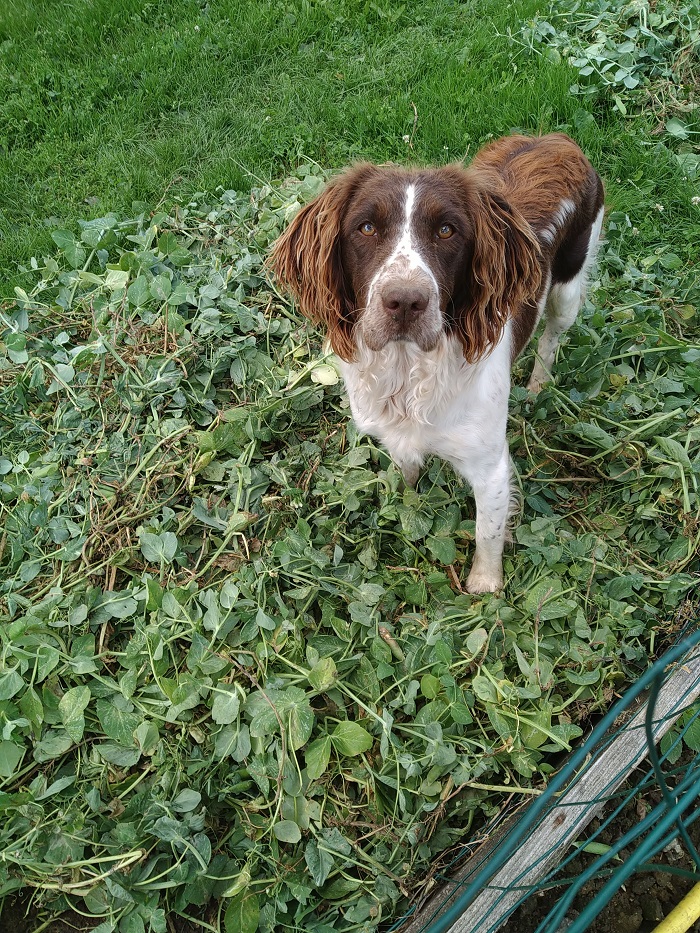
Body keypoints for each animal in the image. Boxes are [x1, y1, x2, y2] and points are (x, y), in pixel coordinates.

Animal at [271, 134, 604, 593]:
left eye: (447, 230)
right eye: (366, 227)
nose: (405, 302)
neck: (410, 371)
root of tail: (557, 138)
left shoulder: (491, 468)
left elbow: (487, 532)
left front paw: (485, 587)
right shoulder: (398, 437)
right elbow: (407, 481)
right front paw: (405, 504)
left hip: (569, 286)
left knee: (553, 333)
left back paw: (539, 383)